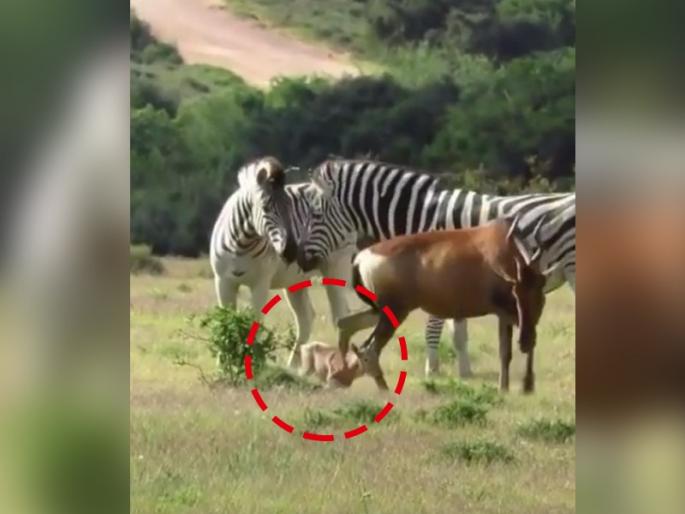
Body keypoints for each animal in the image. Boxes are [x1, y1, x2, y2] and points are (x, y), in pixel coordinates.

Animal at [210, 157, 357, 367]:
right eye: (265, 208)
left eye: (290, 209)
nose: (291, 250)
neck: (241, 243)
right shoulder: (223, 281)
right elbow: (226, 320)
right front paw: (224, 365)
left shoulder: (261, 283)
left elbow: (254, 321)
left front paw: (253, 363)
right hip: (295, 280)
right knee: (306, 318)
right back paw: (293, 368)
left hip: (336, 266)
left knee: (340, 315)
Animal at [285, 159, 575, 376]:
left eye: (315, 215)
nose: (299, 259)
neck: (418, 216)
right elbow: (458, 332)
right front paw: (463, 374)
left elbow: (433, 329)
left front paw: (431, 372)